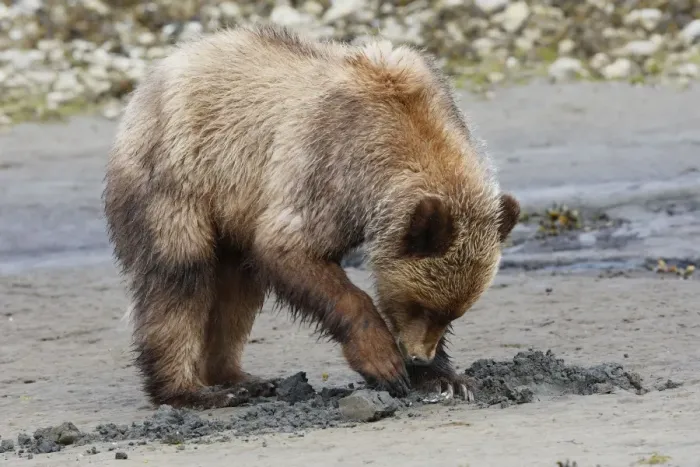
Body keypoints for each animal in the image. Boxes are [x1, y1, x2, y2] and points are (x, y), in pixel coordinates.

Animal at [103, 23, 520, 409]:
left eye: (453, 313)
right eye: (420, 304)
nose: (419, 356)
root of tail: (153, 77)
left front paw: (448, 379)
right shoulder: (330, 167)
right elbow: (292, 249)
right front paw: (385, 362)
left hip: (233, 211)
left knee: (238, 289)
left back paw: (242, 379)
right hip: (180, 179)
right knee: (179, 277)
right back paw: (192, 391)